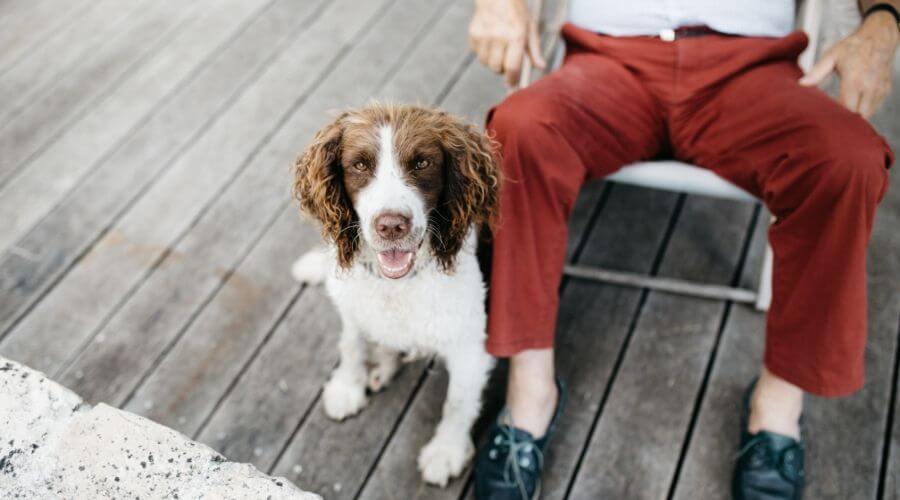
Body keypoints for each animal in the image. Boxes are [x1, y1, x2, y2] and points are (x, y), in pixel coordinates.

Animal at [290, 102, 496, 484]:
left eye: (422, 163)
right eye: (359, 165)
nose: (391, 226)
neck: (397, 284)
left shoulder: (469, 345)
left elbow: (458, 402)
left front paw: (446, 451)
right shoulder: (353, 306)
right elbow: (351, 345)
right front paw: (347, 387)